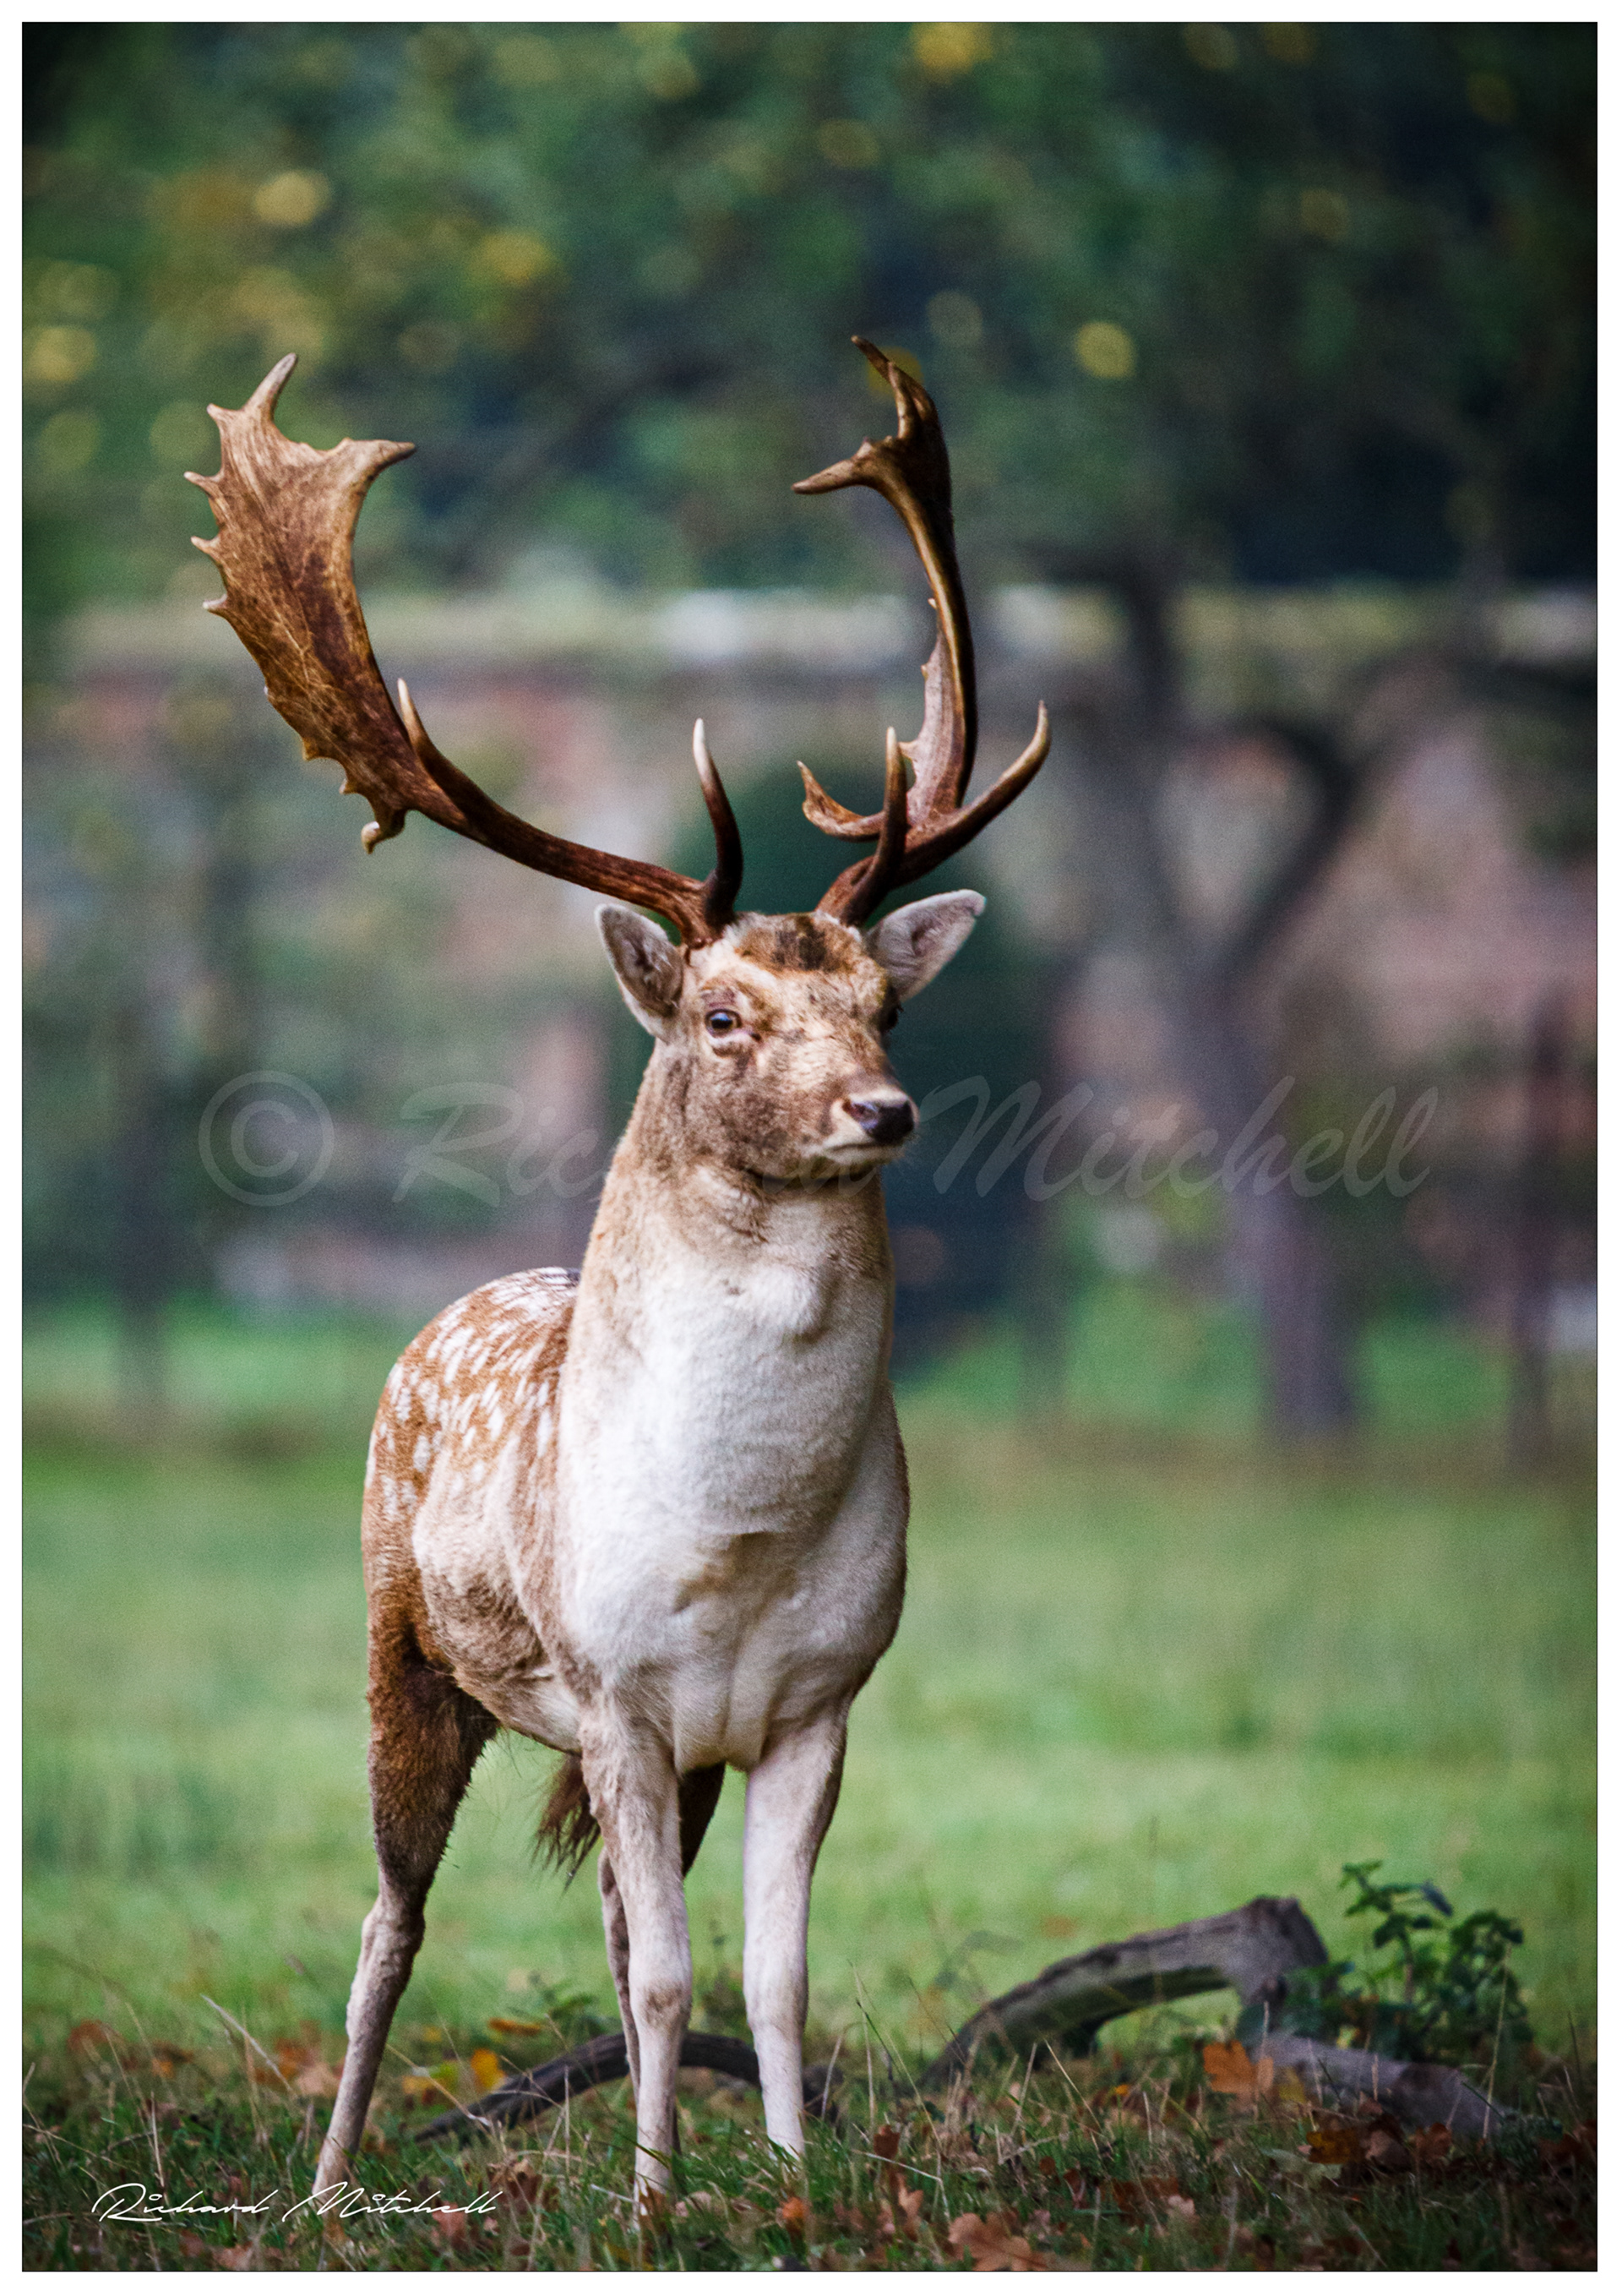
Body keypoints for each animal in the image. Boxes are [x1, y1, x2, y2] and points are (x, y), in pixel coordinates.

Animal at [187, 337, 1049, 2204]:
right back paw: (335, 2177)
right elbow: (665, 1968)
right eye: (723, 1012)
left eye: (883, 1001)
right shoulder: (617, 1689)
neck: (734, 1540)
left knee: (596, 1918)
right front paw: (657, 2202)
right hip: (407, 1643)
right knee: (391, 1917)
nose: (886, 1106)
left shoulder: (813, 1703)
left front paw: (785, 2185)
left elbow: (765, 1966)